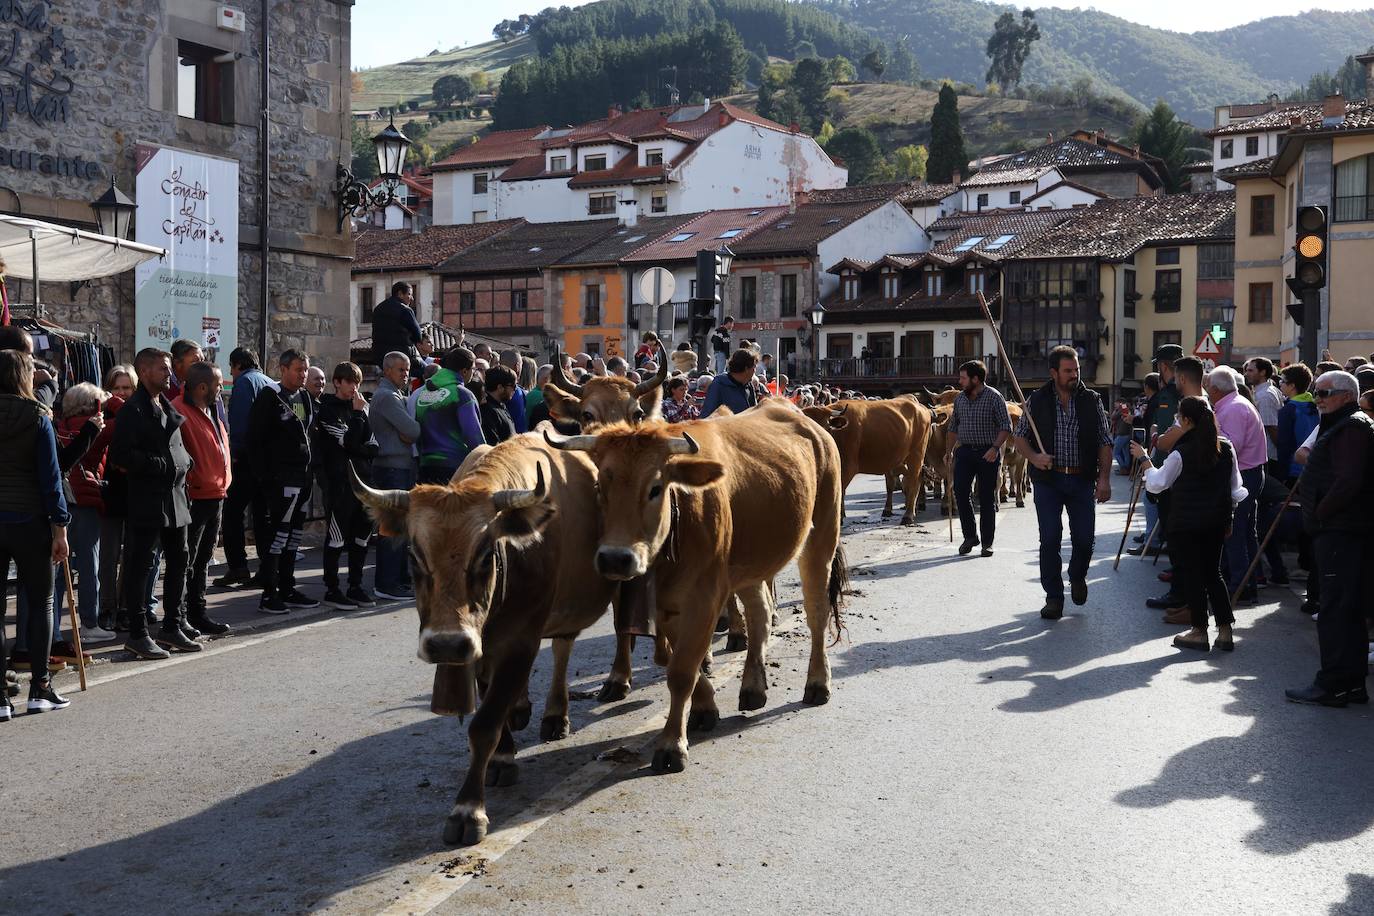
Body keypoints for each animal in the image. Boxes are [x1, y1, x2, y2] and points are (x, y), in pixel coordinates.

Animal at [354, 436, 618, 845]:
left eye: (484, 555)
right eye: (414, 556)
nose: (445, 645)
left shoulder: (521, 641)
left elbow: (484, 724)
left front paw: (468, 810)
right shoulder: (478, 646)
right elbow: (492, 703)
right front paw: (504, 753)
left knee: (593, 639)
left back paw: (582, 701)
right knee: (560, 648)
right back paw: (533, 709)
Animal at [538, 401, 840, 774]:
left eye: (655, 488)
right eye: (598, 489)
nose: (615, 559)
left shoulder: (705, 596)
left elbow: (682, 671)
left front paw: (672, 744)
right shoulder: (668, 604)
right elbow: (678, 661)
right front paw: (705, 707)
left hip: (822, 535)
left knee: (816, 611)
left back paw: (818, 682)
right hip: (749, 564)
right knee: (760, 612)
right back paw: (753, 687)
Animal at [802, 398, 934, 527]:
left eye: (826, 427)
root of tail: (920, 406)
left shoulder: (849, 466)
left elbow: (840, 490)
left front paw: (839, 519)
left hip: (916, 454)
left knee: (913, 480)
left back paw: (908, 516)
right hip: (900, 459)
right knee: (914, 478)